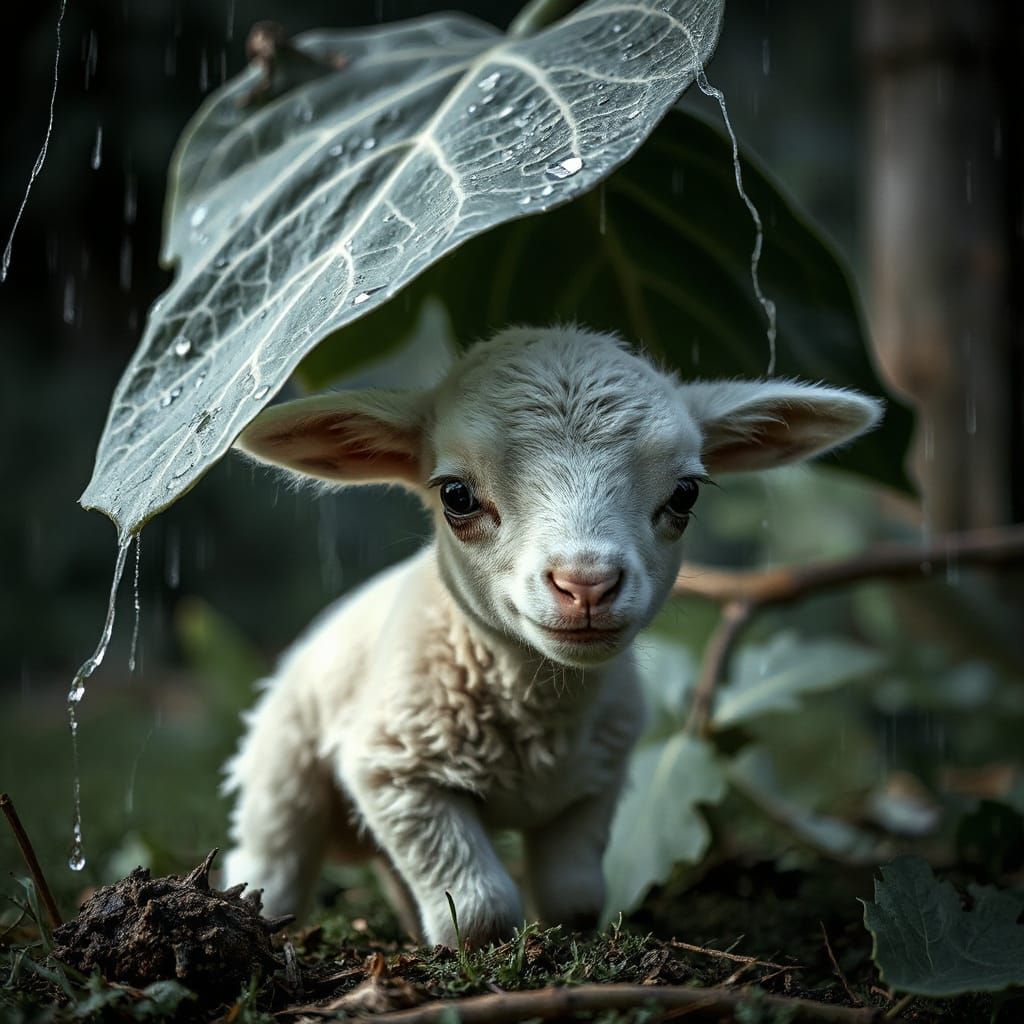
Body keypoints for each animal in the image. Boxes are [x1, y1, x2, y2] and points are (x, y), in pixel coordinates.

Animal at [221, 324, 882, 947]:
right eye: (456, 495)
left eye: (685, 493)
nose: (586, 583)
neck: (538, 707)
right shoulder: (395, 769)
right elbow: (481, 907)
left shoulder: (599, 777)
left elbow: (575, 896)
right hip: (282, 770)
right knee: (271, 861)